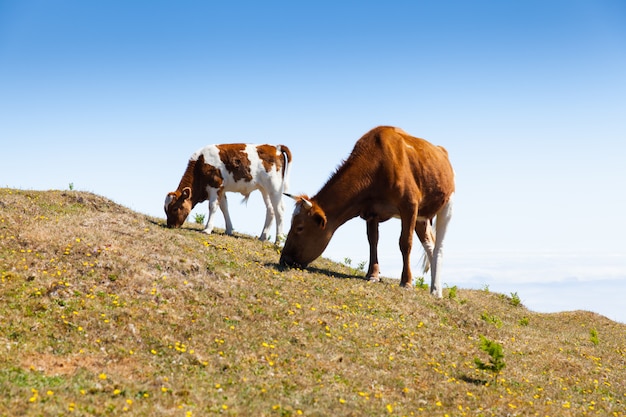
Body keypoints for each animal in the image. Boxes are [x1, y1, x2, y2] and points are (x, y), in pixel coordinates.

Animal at [280, 125, 450, 298]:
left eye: (299, 227)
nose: (283, 258)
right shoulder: (372, 211)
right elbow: (372, 240)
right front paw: (372, 274)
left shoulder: (409, 205)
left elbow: (405, 242)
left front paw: (406, 282)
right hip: (422, 216)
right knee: (430, 245)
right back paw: (434, 290)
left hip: (446, 207)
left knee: (438, 248)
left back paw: (436, 289)